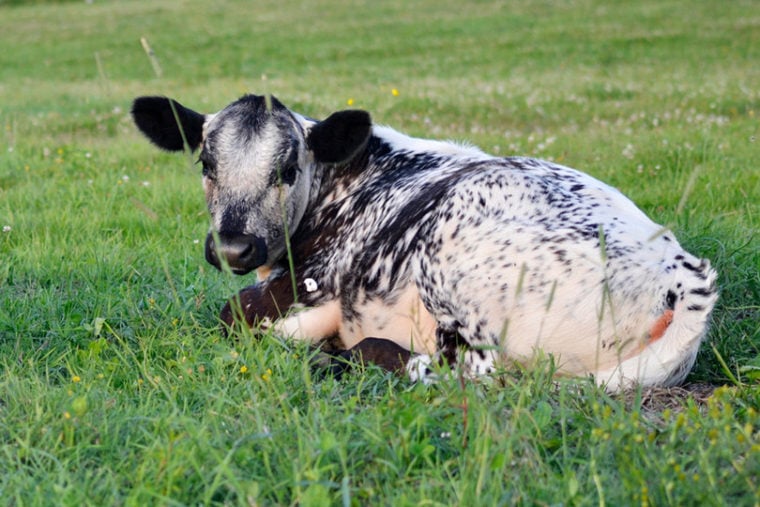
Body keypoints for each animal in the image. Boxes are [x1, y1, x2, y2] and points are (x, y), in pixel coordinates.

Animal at [132, 94, 720, 392]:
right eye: (206, 164)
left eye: (288, 168)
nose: (233, 247)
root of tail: (684, 272)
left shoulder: (312, 281)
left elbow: (232, 313)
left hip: (454, 273)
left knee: (461, 373)